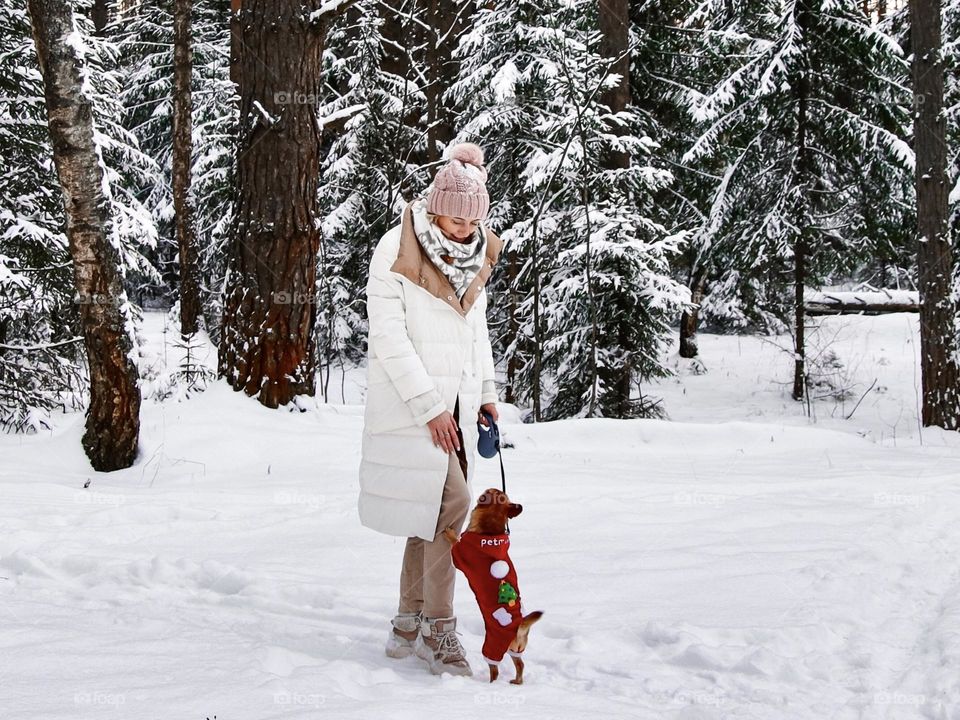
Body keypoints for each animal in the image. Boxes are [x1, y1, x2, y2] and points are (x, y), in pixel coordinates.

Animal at [446, 486, 544, 684]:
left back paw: (491, 683)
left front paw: (449, 533)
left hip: (492, 646)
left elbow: (454, 542)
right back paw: (516, 681)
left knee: (495, 670)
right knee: (520, 665)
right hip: (515, 650)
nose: (491, 487)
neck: (490, 532)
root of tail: (520, 627)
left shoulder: (459, 553)